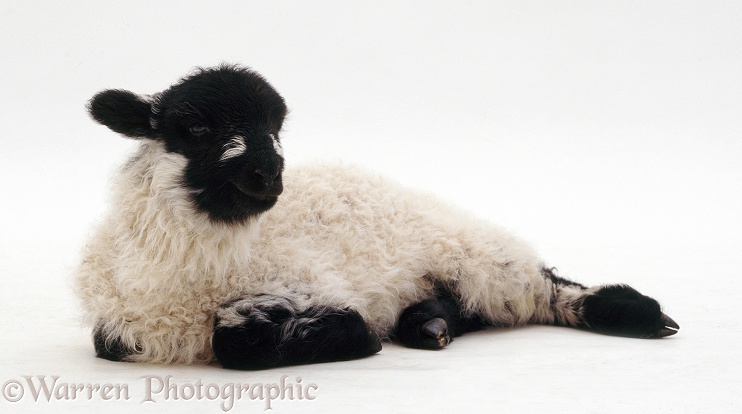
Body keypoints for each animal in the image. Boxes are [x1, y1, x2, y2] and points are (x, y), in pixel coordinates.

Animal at [74, 64, 680, 368]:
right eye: (196, 126)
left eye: (275, 127)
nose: (270, 174)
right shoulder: (119, 325)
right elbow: (107, 345)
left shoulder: (304, 282)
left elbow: (237, 345)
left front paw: (357, 336)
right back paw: (429, 324)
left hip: (476, 250)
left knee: (544, 289)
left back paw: (642, 315)